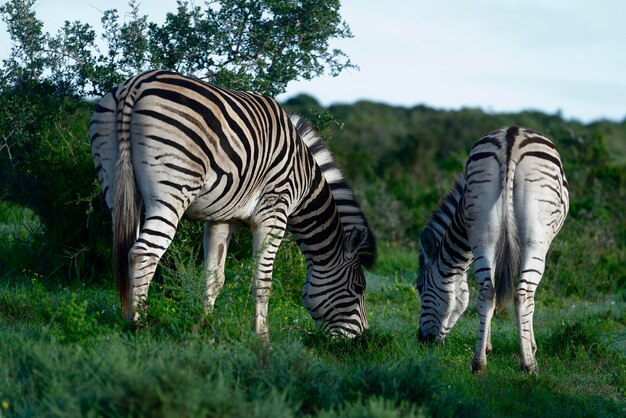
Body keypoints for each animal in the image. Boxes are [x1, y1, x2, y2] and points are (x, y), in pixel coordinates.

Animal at [89, 69, 372, 340]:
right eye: (359, 287)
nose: (363, 338)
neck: (304, 180)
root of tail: (135, 85)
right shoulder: (273, 213)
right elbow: (263, 280)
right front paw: (262, 338)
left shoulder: (220, 219)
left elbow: (214, 277)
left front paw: (204, 326)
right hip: (171, 193)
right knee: (142, 253)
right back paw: (139, 324)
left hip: (115, 186)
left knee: (125, 248)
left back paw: (126, 317)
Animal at [416, 126, 568, 372]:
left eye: (420, 287)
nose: (421, 340)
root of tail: (511, 138)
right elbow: (531, 302)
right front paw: (531, 346)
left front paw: (487, 346)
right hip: (535, 237)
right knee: (523, 293)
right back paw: (528, 364)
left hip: (483, 229)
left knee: (487, 291)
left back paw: (478, 363)